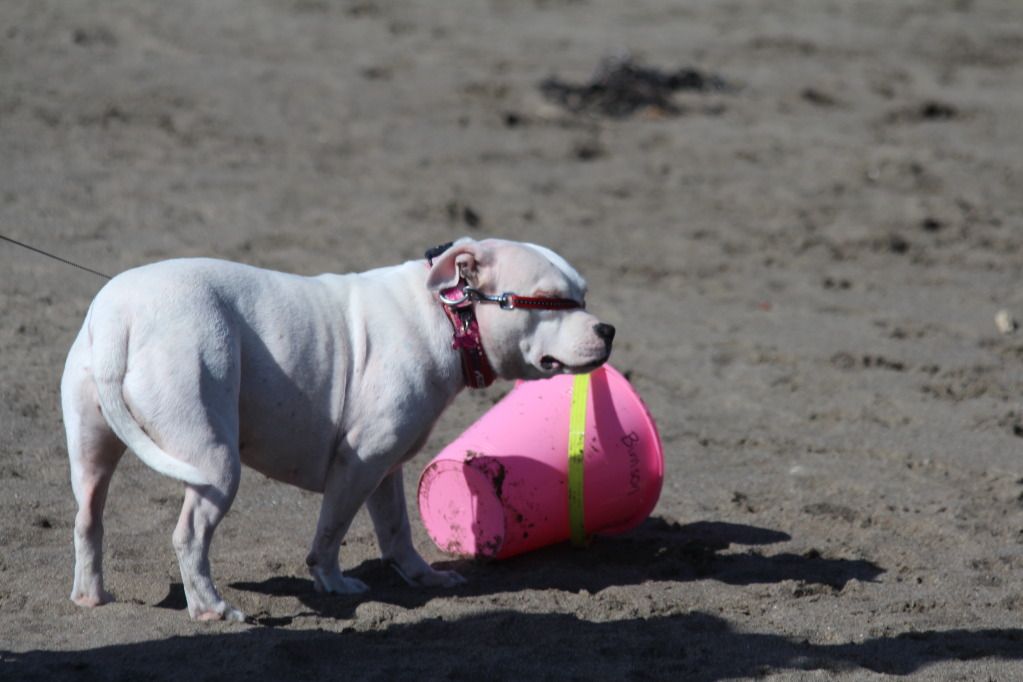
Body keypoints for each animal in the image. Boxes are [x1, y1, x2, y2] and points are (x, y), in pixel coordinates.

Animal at [61, 237, 613, 621]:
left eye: (584, 296)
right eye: (549, 300)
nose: (608, 329)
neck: (449, 312)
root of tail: (116, 318)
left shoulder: (386, 467)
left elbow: (396, 530)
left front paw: (422, 577)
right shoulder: (360, 463)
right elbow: (331, 532)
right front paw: (334, 583)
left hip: (92, 450)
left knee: (88, 518)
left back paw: (92, 597)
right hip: (213, 460)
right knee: (189, 535)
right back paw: (211, 609)